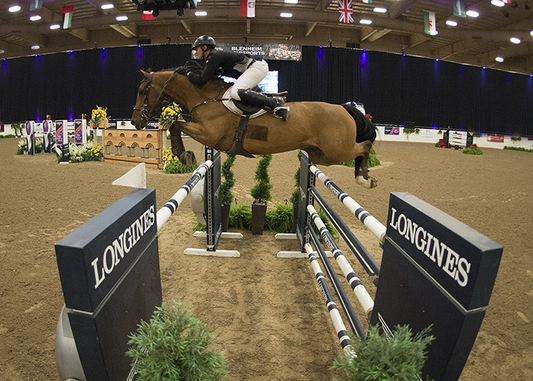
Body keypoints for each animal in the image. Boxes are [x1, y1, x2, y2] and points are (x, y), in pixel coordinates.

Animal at [130, 60, 376, 187]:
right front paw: (183, 154)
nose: (134, 122)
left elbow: (175, 126)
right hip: (320, 154)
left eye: (141, 91)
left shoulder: (209, 134)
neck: (207, 97)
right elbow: (176, 126)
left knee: (364, 147)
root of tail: (343, 107)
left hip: (337, 150)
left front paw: (183, 155)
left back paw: (364, 178)